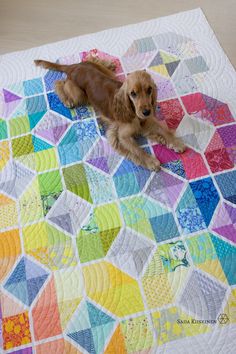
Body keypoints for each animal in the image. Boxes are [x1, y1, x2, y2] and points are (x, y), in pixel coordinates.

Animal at [35, 56, 186, 170]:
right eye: (133, 93)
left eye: (149, 90)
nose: (146, 111)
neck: (133, 112)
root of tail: (73, 67)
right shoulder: (123, 136)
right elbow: (137, 149)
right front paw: (150, 161)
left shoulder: (148, 121)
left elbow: (163, 130)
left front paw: (175, 143)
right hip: (78, 94)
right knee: (59, 82)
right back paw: (67, 100)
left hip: (101, 71)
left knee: (90, 59)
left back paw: (108, 63)